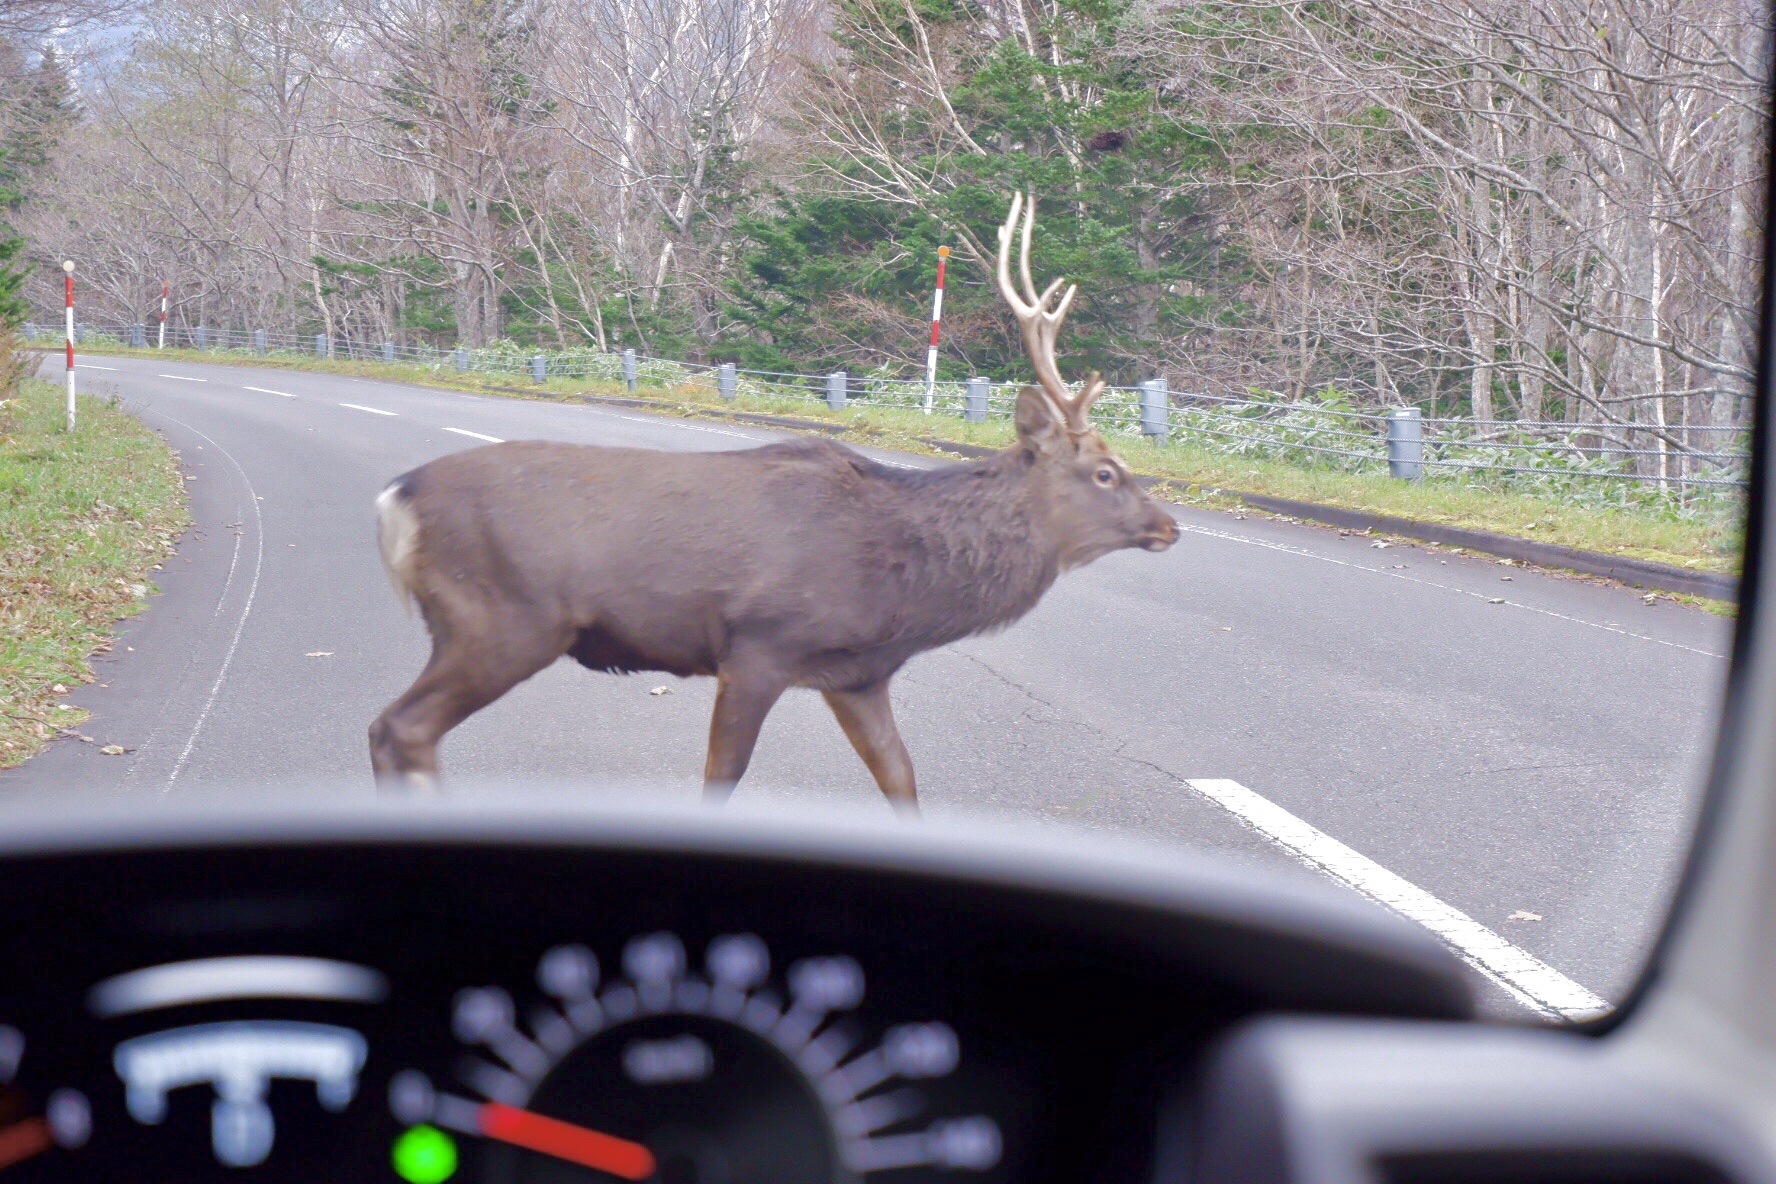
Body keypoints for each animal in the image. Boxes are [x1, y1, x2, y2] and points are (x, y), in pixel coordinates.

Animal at [369, 197, 1179, 816]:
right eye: (1106, 472)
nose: (1169, 525)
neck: (904, 586)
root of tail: (394, 499)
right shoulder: (758, 647)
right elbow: (721, 782)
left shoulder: (857, 675)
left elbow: (902, 781)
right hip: (501, 618)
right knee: (399, 728)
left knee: (397, 731)